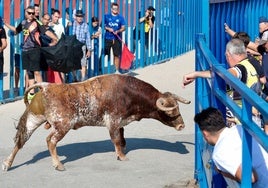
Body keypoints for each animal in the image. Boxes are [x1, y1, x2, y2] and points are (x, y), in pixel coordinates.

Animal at [2, 74, 191, 171]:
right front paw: (122, 156)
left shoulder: (120, 123)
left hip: (33, 119)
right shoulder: (113, 120)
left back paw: (7, 164)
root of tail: (47, 86)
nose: (182, 125)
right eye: (171, 111)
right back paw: (58, 164)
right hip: (63, 125)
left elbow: (122, 139)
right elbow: (116, 139)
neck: (128, 92)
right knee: (50, 141)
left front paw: (121, 152)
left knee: (20, 141)